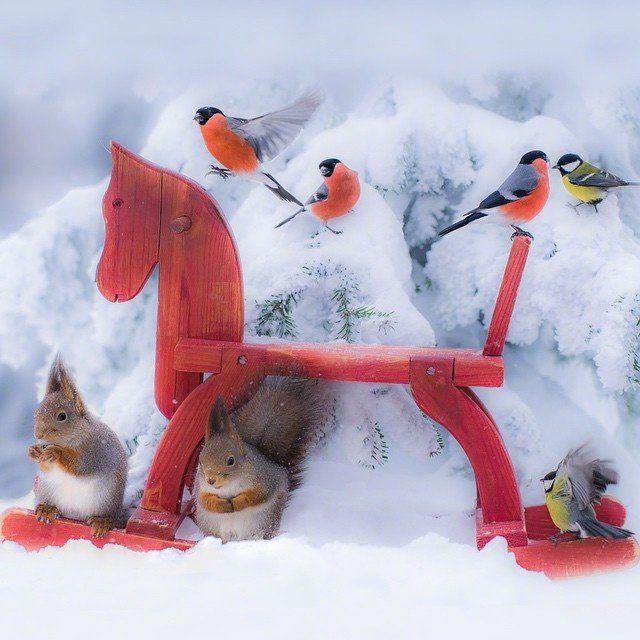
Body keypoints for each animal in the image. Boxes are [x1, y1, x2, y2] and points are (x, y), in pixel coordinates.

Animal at [27, 356, 127, 536]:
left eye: (62, 416)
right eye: (37, 412)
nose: (38, 435)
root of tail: (75, 517)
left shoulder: (95, 452)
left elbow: (80, 466)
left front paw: (55, 452)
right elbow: (46, 467)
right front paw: (33, 451)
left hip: (107, 500)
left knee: (108, 517)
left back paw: (102, 521)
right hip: (47, 490)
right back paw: (47, 509)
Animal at [194, 378, 324, 544]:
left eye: (231, 460)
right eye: (200, 462)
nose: (211, 480)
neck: (229, 486)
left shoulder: (265, 479)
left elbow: (257, 496)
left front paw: (236, 503)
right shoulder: (201, 487)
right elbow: (205, 501)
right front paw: (221, 505)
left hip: (264, 521)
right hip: (212, 526)